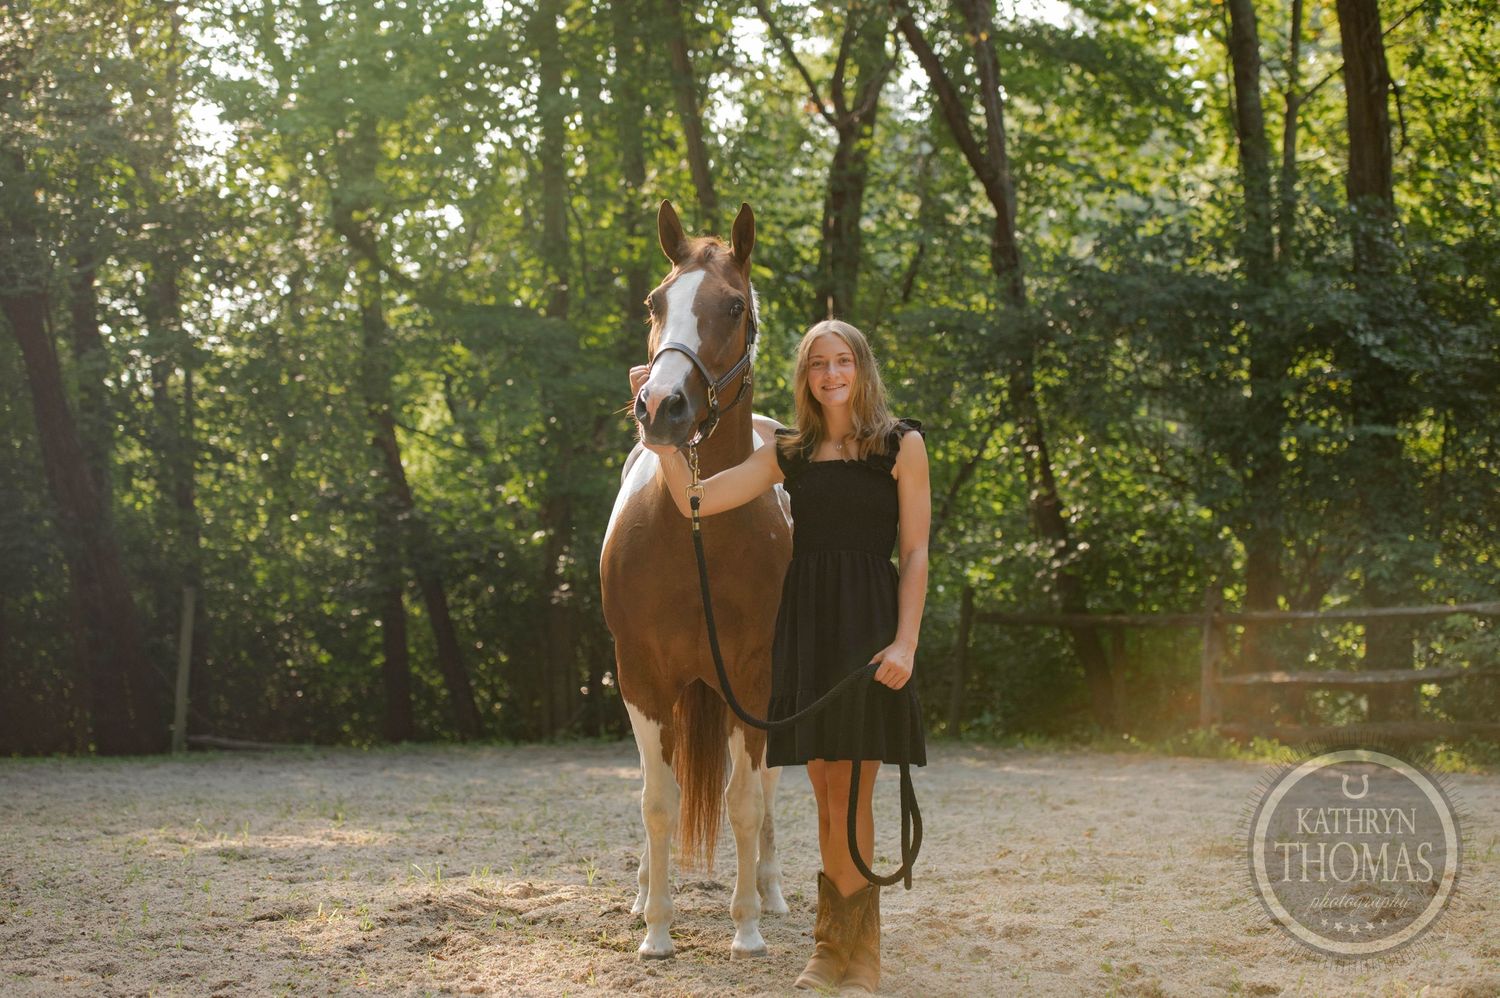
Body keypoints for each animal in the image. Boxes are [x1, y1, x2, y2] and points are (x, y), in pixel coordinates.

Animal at [599, 199, 794, 959]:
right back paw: (640, 894)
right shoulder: (643, 680)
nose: (660, 407)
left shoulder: (754, 680)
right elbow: (658, 801)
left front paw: (746, 926)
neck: (695, 531)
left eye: (734, 306)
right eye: (657, 302)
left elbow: (744, 800)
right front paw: (657, 928)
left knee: (767, 789)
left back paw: (769, 892)